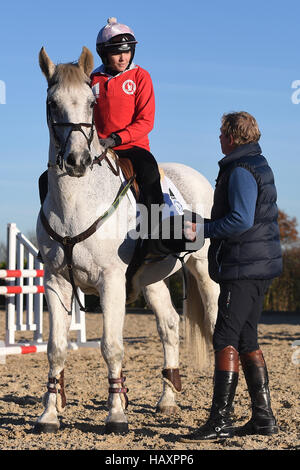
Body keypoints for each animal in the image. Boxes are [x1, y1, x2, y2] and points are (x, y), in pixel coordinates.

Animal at [35, 46, 219, 434]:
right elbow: (55, 348)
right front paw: (49, 415)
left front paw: (117, 414)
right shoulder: (56, 282)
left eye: (91, 102)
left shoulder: (111, 282)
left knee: (215, 322)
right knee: (169, 326)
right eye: (52, 103)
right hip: (152, 281)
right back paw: (167, 399)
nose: (77, 161)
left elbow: (112, 346)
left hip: (204, 271)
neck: (77, 202)